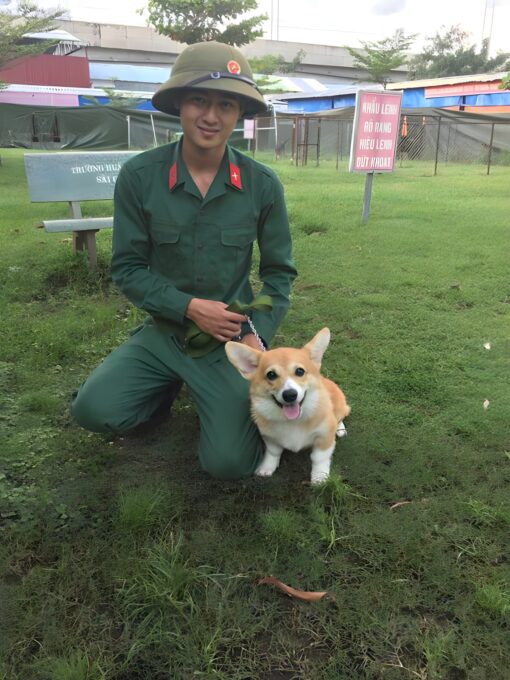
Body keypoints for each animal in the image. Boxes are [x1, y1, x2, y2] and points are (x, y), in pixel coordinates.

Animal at [226, 328, 350, 484]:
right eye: (271, 375)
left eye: (300, 371)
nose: (290, 395)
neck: (293, 421)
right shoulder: (269, 437)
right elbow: (273, 452)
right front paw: (267, 467)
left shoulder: (324, 436)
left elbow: (319, 457)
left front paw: (319, 477)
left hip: (339, 403)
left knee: (340, 416)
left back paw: (340, 428)